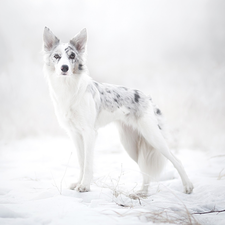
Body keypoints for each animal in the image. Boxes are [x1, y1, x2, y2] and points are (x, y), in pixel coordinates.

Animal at [42, 27, 193, 197]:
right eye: (56, 56)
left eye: (72, 56)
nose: (64, 68)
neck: (68, 89)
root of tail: (147, 97)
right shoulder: (75, 134)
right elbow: (81, 161)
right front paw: (78, 183)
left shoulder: (89, 133)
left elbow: (88, 163)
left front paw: (85, 186)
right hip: (130, 144)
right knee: (144, 169)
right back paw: (142, 192)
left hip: (153, 137)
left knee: (176, 160)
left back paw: (188, 186)